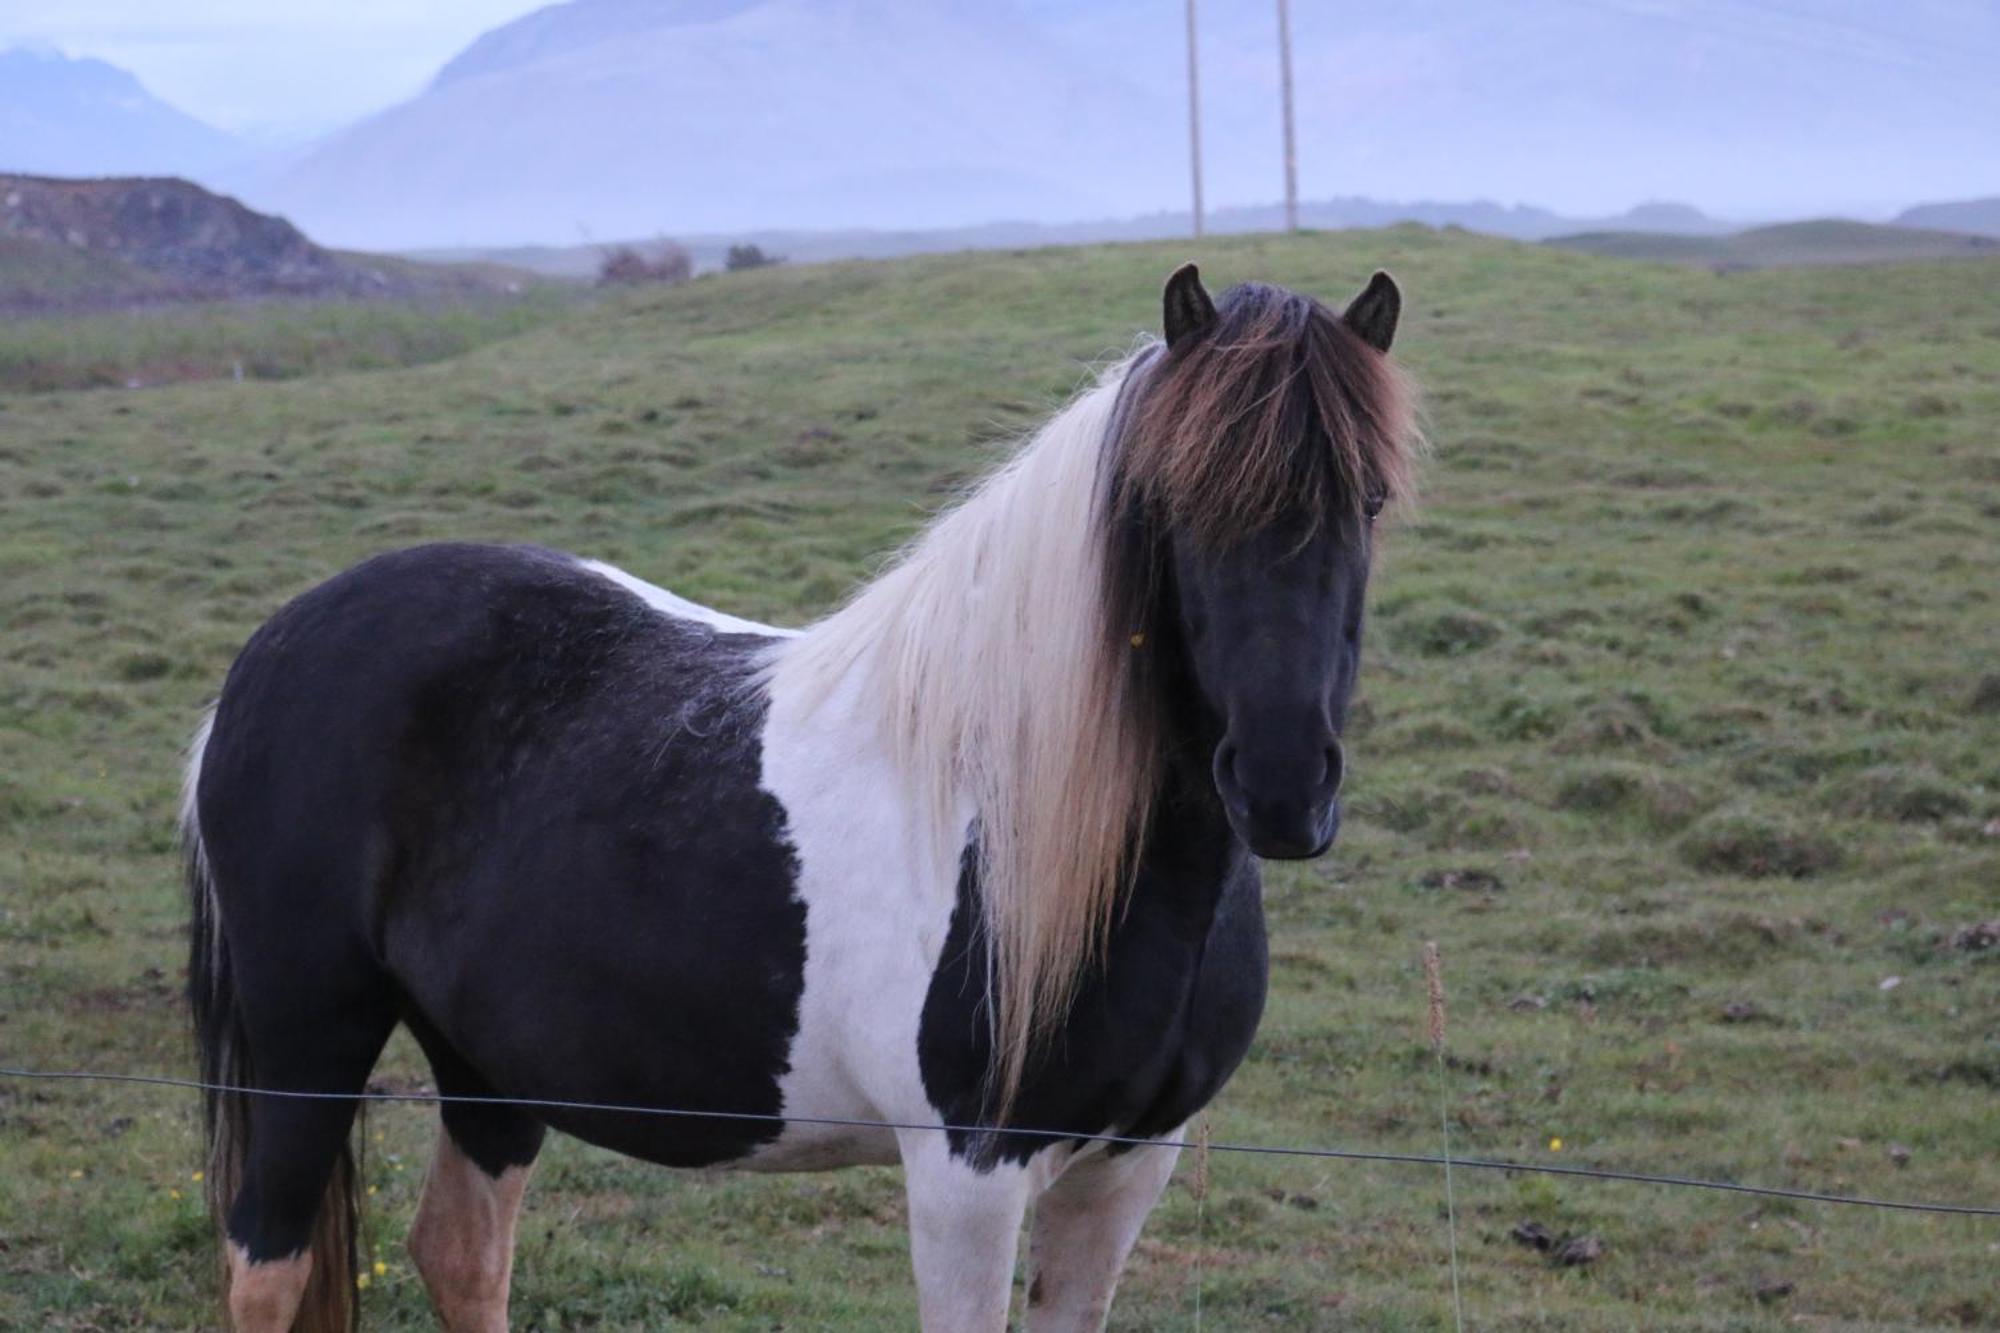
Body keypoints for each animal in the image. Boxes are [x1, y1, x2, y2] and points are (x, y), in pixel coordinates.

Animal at [180, 264, 1416, 1320]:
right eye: (1175, 501)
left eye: (1368, 500)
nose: (1281, 786)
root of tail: (266, 655)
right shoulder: (966, 1173)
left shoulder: (1129, 1164)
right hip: (310, 1040)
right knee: (264, 1264)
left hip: (482, 1067)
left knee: (459, 1253)